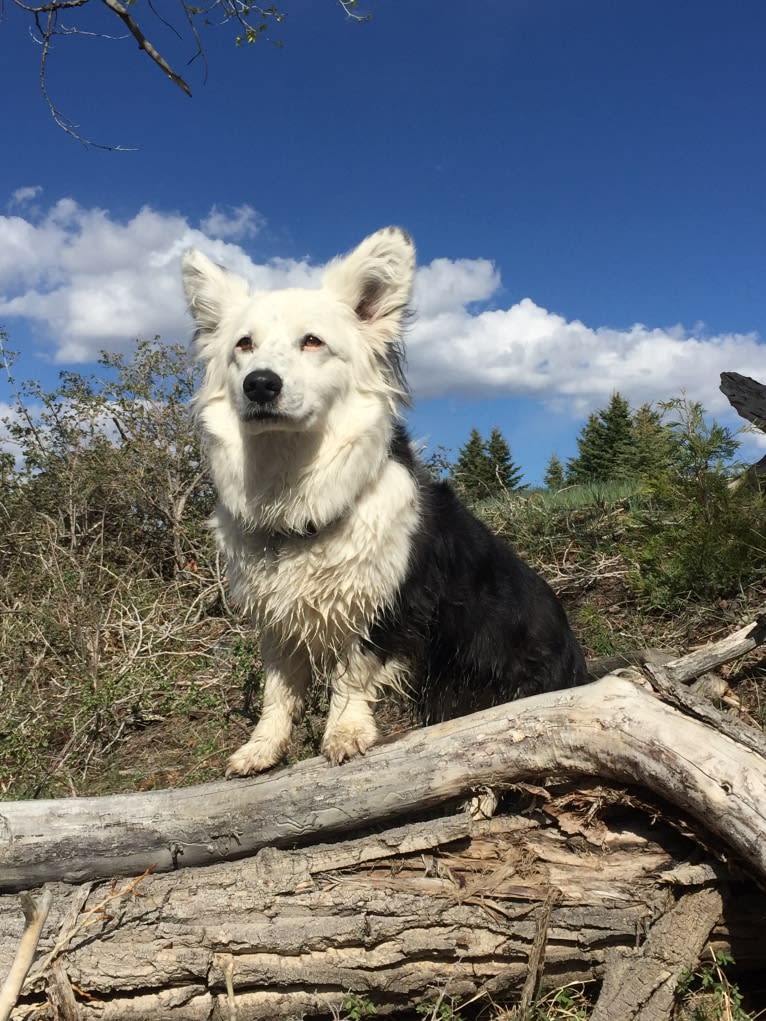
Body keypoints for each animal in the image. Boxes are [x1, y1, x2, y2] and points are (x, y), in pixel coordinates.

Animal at [181, 229, 588, 771]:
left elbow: (353, 673)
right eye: (243, 345)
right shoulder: (277, 616)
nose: (260, 384)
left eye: (313, 341)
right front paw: (262, 747)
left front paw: (345, 732)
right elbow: (279, 689)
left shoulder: (391, 602)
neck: (297, 485)